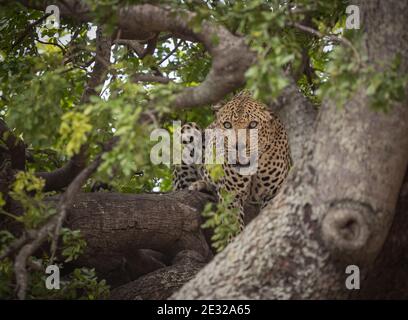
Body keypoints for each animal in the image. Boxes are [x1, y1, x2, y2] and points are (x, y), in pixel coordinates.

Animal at [171, 91, 290, 236]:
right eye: (227, 125)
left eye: (253, 124)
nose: (238, 147)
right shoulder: (231, 195)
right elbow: (233, 227)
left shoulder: (272, 195)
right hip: (187, 131)